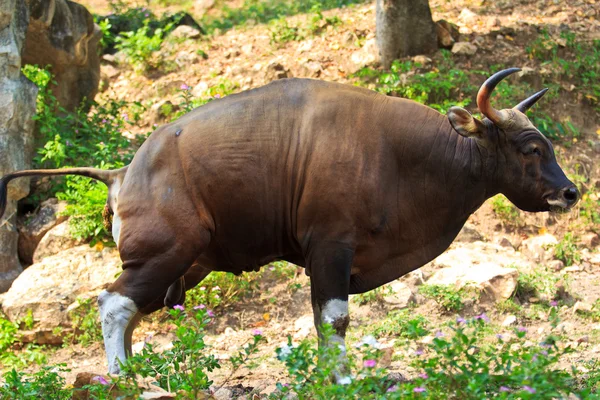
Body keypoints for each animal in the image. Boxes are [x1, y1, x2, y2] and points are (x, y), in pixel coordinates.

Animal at [1, 68, 580, 378]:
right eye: (531, 147)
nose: (570, 192)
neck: (405, 157)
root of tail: (123, 172)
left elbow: (330, 321)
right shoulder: (330, 248)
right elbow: (334, 320)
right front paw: (339, 379)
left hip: (182, 266)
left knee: (130, 309)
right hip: (166, 253)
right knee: (114, 302)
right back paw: (124, 377)